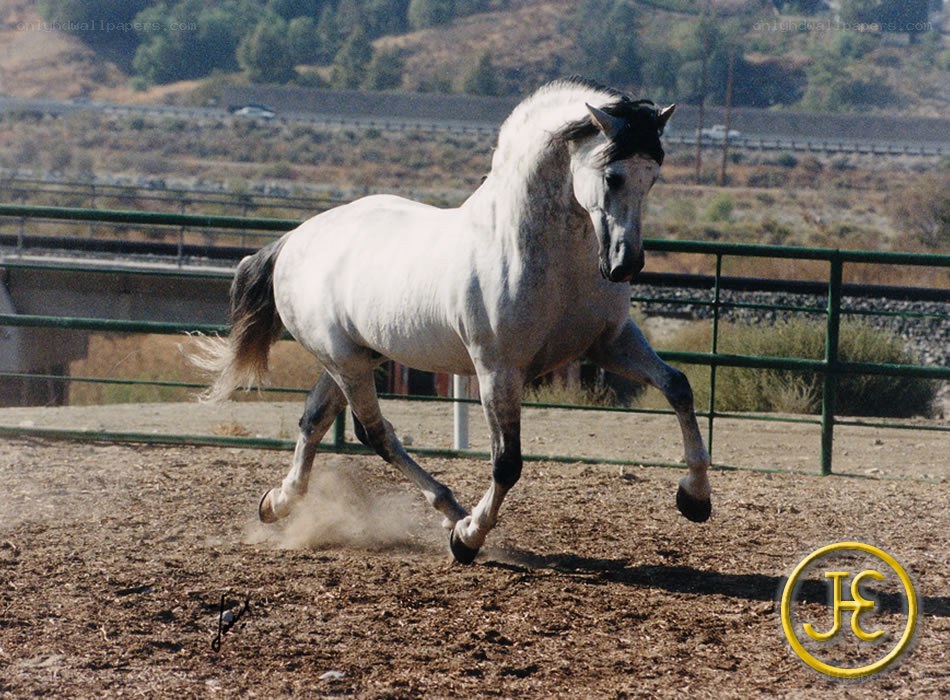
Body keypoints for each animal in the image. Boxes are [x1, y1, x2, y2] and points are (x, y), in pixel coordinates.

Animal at [192, 77, 712, 564]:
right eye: (613, 175)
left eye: (653, 177)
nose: (625, 265)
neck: (539, 252)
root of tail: (295, 239)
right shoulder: (498, 370)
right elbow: (507, 463)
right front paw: (468, 540)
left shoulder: (610, 343)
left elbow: (679, 386)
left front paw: (694, 499)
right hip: (347, 362)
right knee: (374, 433)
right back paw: (451, 514)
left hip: (355, 357)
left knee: (315, 420)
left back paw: (278, 503)